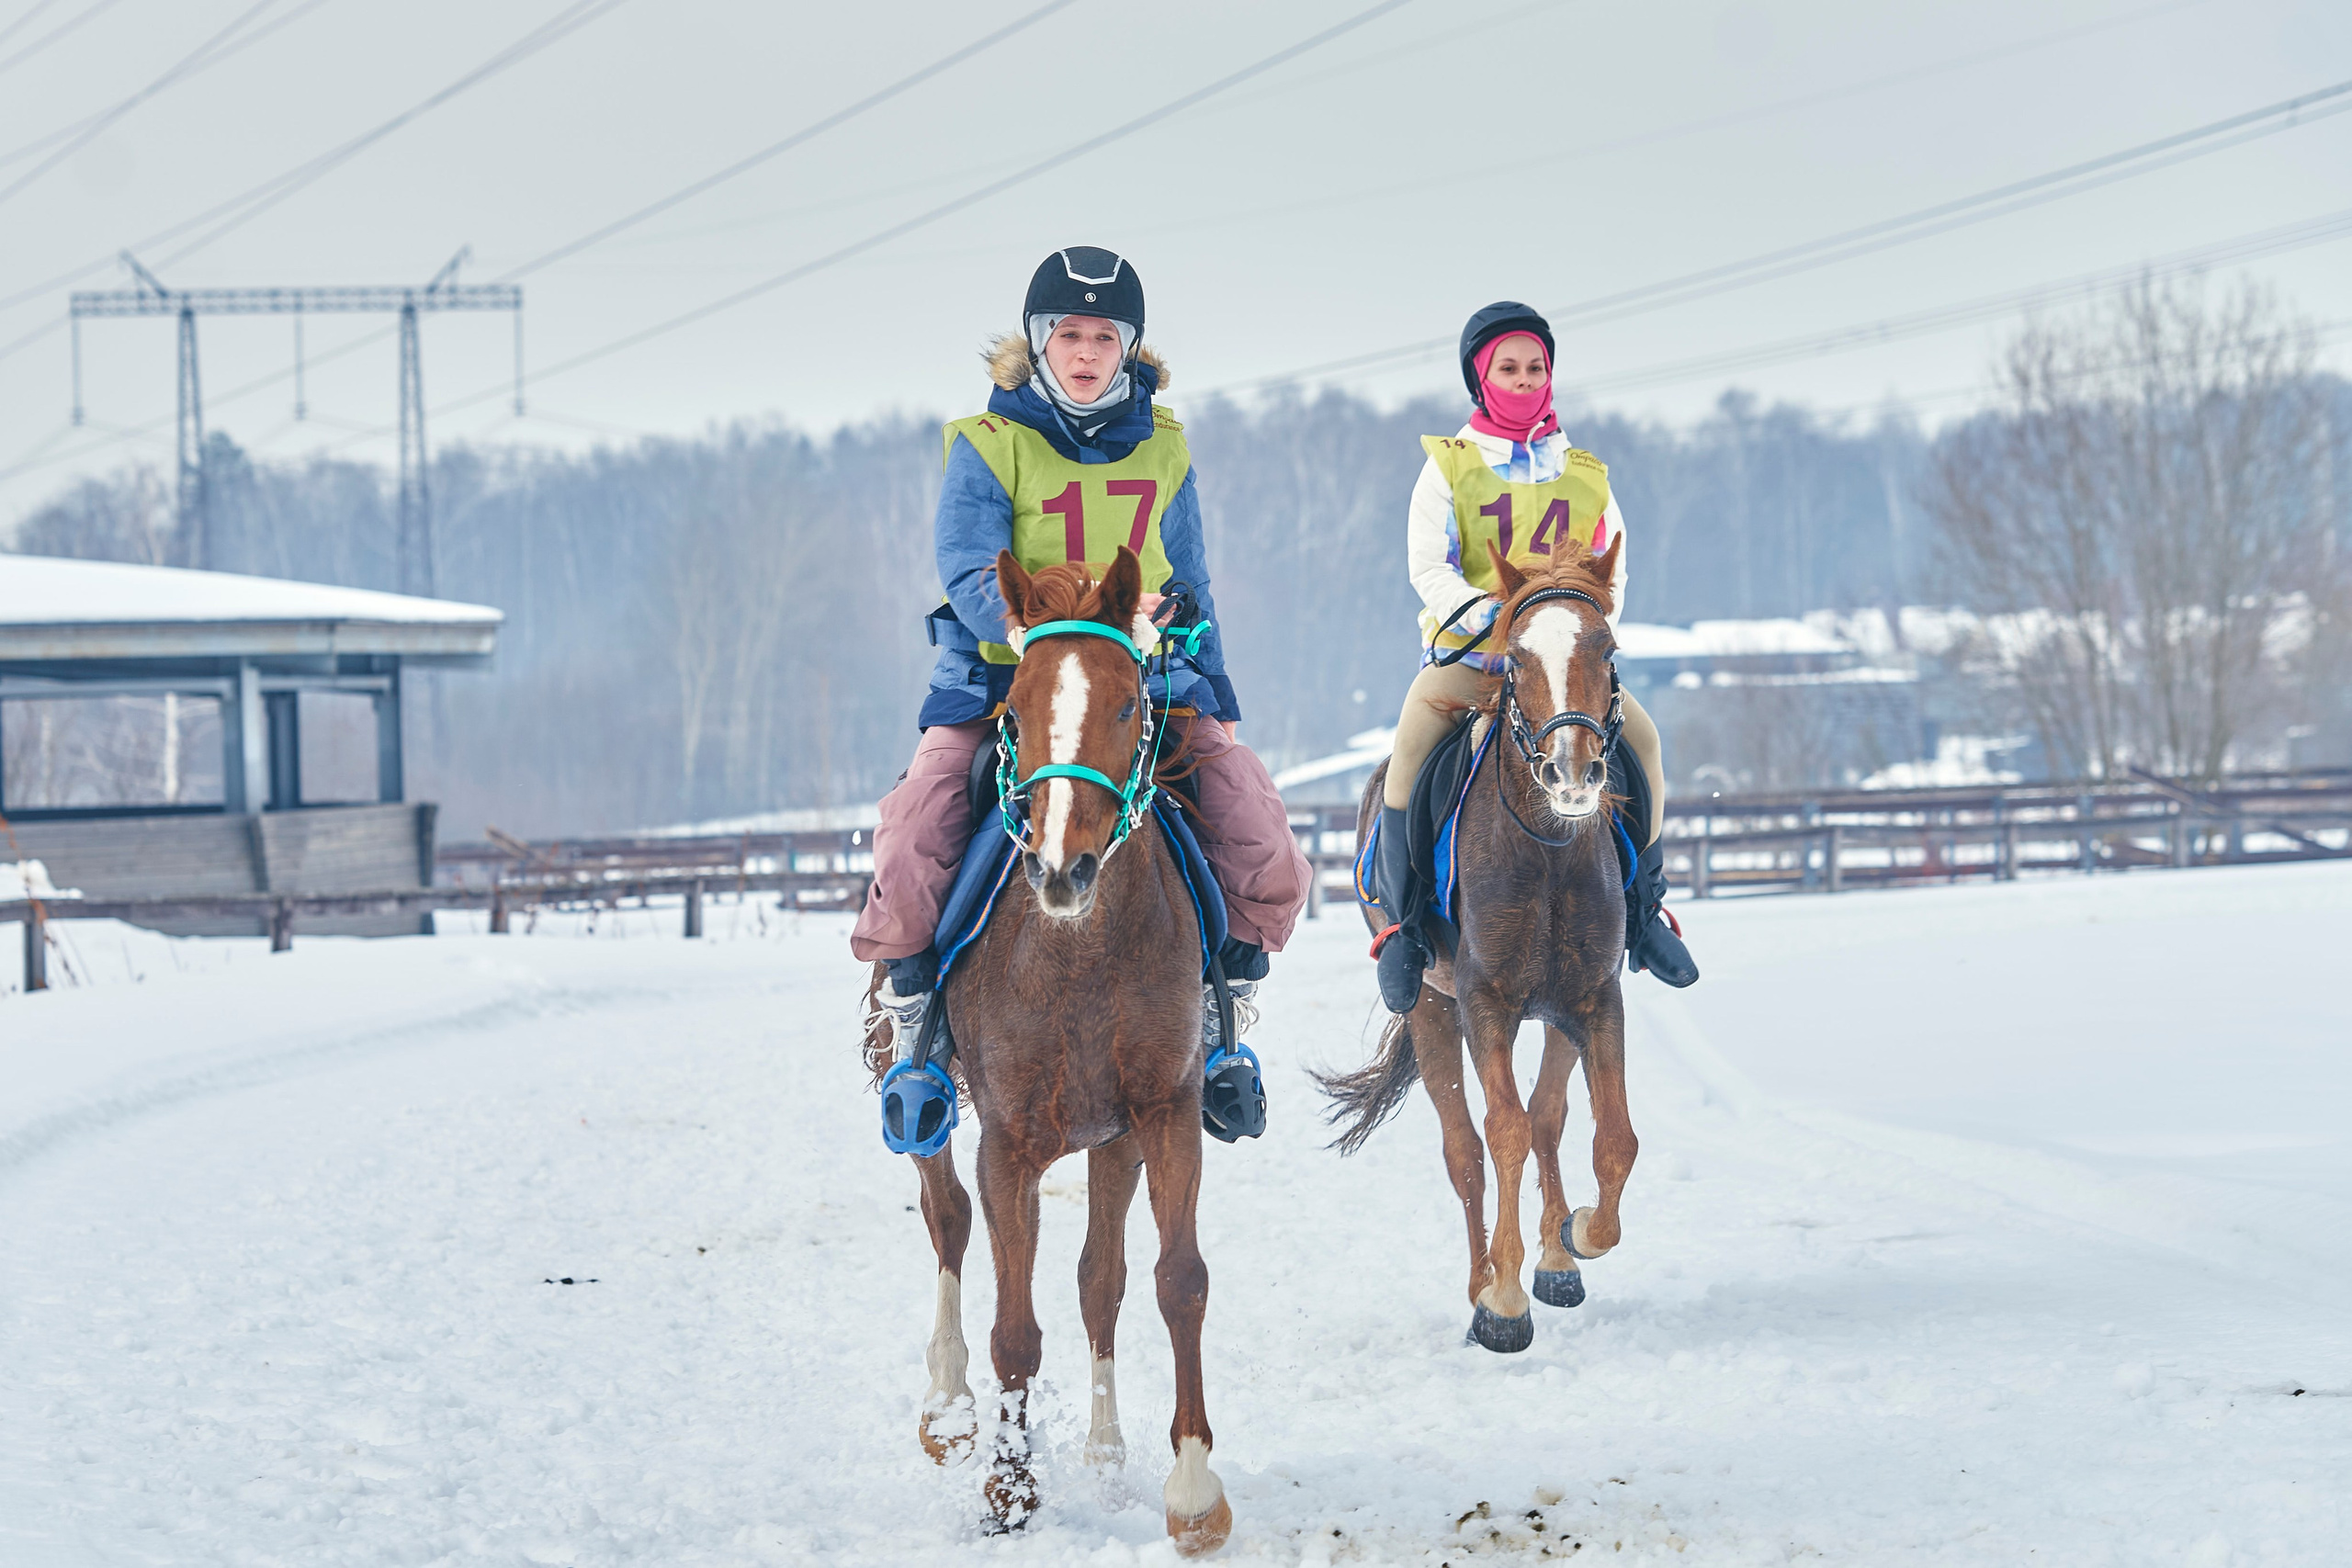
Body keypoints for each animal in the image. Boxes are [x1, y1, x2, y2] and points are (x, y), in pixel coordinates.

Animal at [865, 545, 1235, 1553]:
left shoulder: (1161, 1111)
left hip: (1111, 1138)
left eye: (1129, 702)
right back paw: (948, 1409)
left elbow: (1174, 1280)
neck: (1078, 949)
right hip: (924, 1100)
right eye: (1016, 706)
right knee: (946, 1218)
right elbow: (1012, 1329)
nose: (1060, 867)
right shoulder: (1009, 1143)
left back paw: (1105, 1450)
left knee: (1100, 1280)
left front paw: (1193, 1489)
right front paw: (1007, 1487)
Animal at [1318, 538, 1640, 1354]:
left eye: (1607, 647)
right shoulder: (1483, 1002)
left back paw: (1555, 1259)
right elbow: (1502, 1131)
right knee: (1465, 1148)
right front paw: (1501, 1300)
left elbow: (1610, 1138)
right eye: (1517, 657)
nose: (1571, 773)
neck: (1548, 849)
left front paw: (1579, 1233)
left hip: (1553, 1014)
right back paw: (1480, 1280)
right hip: (1433, 1011)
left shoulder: (1595, 998)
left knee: (1549, 1115)